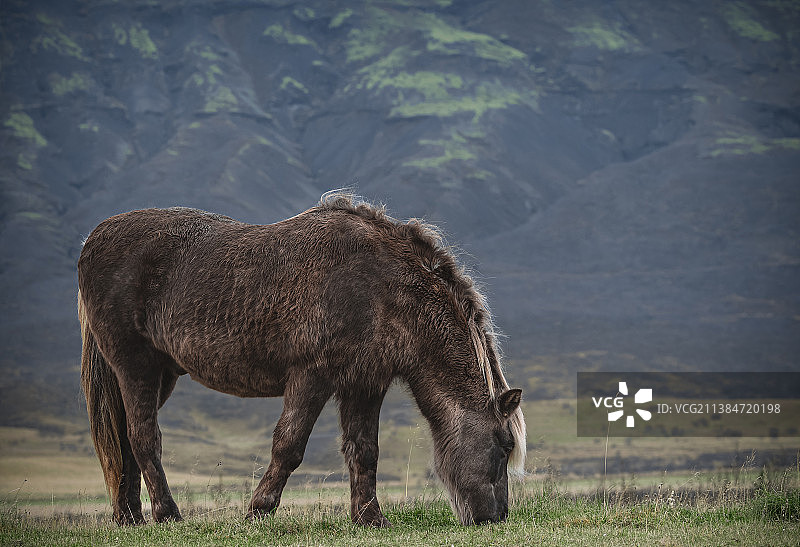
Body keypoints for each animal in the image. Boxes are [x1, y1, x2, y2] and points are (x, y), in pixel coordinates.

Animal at [78, 193, 528, 528]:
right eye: (504, 445)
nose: (495, 519)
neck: (379, 285)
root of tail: (92, 240)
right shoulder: (312, 376)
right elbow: (289, 446)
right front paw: (258, 511)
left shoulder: (364, 383)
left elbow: (364, 450)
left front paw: (369, 519)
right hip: (135, 366)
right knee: (142, 438)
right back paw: (168, 515)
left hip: (160, 374)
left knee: (124, 439)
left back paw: (129, 517)